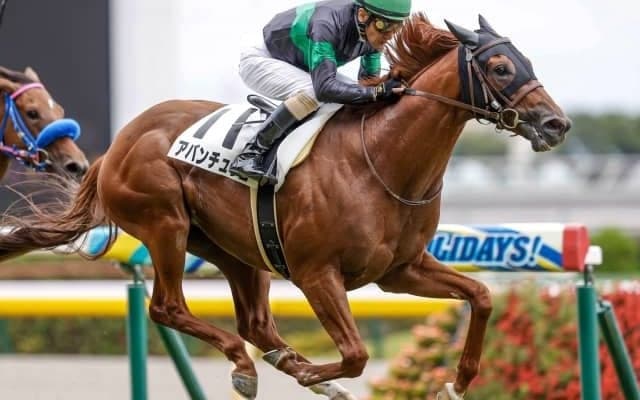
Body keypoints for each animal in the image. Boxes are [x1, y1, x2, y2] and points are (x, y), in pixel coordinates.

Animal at [0, 14, 570, 400]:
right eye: (500, 66)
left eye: (527, 60)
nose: (556, 123)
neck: (382, 161)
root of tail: (117, 144)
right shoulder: (318, 273)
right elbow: (356, 354)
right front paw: (318, 373)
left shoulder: (401, 270)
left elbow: (481, 295)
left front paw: (457, 380)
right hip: (165, 224)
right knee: (168, 307)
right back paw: (249, 366)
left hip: (236, 248)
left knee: (255, 324)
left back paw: (282, 362)